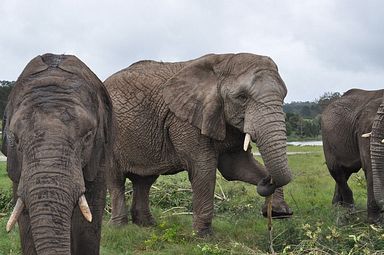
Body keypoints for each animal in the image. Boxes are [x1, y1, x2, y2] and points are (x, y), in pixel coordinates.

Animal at [103, 53, 292, 235]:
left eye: (284, 96)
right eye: (242, 97)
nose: (267, 181)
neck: (222, 62)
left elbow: (235, 167)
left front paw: (280, 212)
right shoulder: (184, 119)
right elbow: (204, 169)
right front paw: (203, 235)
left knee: (144, 181)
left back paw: (146, 225)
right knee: (116, 179)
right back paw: (119, 228)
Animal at [320, 89, 384, 223]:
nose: (382, 209)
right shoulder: (365, 128)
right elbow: (369, 166)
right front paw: (375, 223)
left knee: (346, 172)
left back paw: (337, 208)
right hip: (327, 139)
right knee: (336, 171)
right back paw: (348, 213)